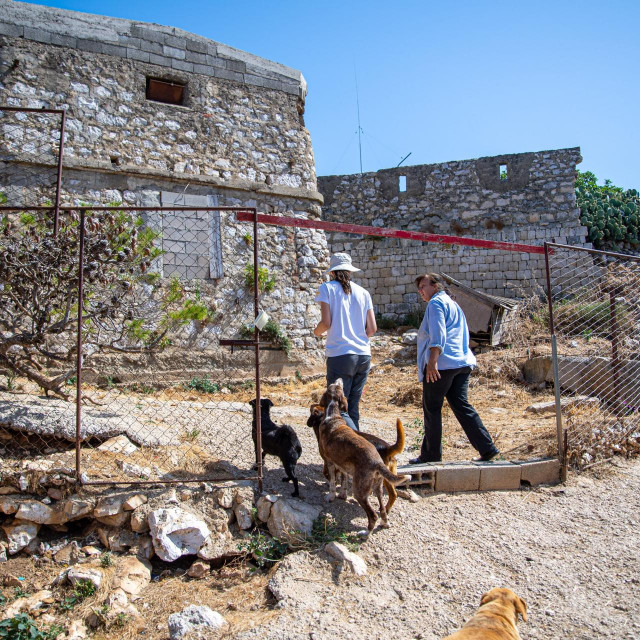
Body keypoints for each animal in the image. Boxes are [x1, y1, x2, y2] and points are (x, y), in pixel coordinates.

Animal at [316, 380, 410, 528]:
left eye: (335, 385)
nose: (340, 379)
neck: (333, 416)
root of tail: (377, 461)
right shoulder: (343, 465)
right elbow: (343, 483)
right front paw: (342, 495)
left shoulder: (330, 462)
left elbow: (332, 483)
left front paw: (330, 496)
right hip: (379, 485)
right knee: (382, 507)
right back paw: (384, 522)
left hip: (360, 489)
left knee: (375, 511)